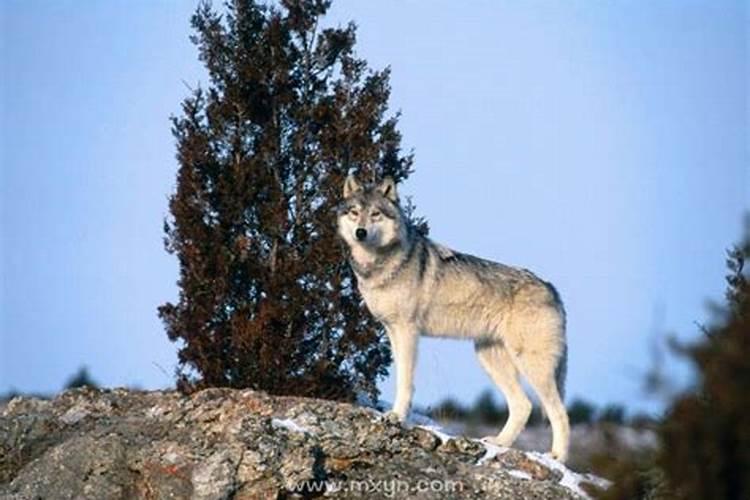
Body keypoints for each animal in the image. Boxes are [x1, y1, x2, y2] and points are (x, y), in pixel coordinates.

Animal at [338, 175, 572, 460]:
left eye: (375, 214)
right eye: (354, 212)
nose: (360, 232)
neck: (380, 265)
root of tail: (551, 288)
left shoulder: (408, 331)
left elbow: (405, 381)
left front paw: (396, 417)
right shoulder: (391, 330)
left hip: (531, 365)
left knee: (559, 412)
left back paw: (557, 457)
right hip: (488, 357)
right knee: (523, 405)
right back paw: (499, 442)